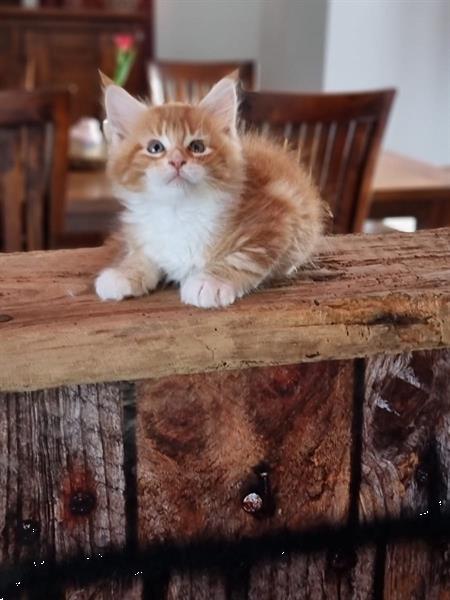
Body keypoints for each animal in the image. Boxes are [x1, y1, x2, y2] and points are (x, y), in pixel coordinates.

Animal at [96, 74, 326, 308]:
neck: (179, 210)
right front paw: (124, 273)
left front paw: (211, 282)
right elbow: (141, 255)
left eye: (197, 147)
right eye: (155, 147)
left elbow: (243, 259)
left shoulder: (276, 219)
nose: (177, 161)